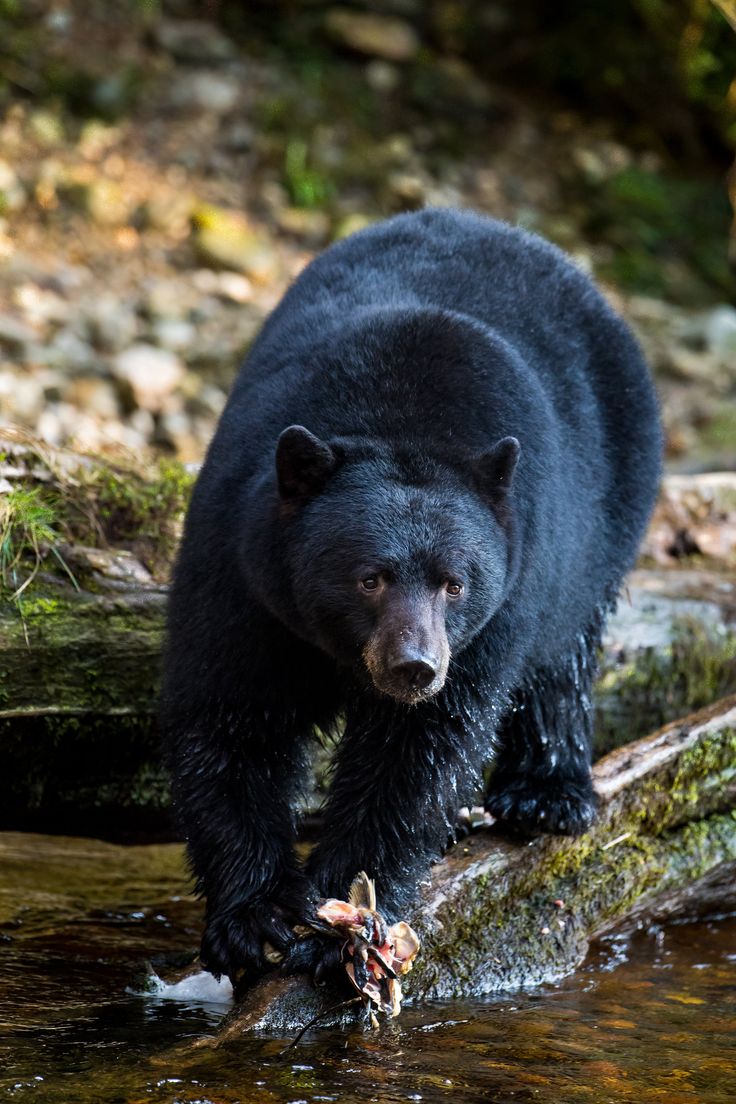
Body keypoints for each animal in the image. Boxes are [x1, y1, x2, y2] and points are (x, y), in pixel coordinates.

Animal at [162, 207, 662, 984]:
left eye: (456, 583)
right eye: (369, 577)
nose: (415, 667)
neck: (399, 423)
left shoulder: (495, 613)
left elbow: (416, 753)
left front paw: (343, 924)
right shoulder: (242, 572)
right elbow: (233, 718)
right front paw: (255, 916)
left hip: (607, 514)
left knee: (564, 654)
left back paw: (546, 794)